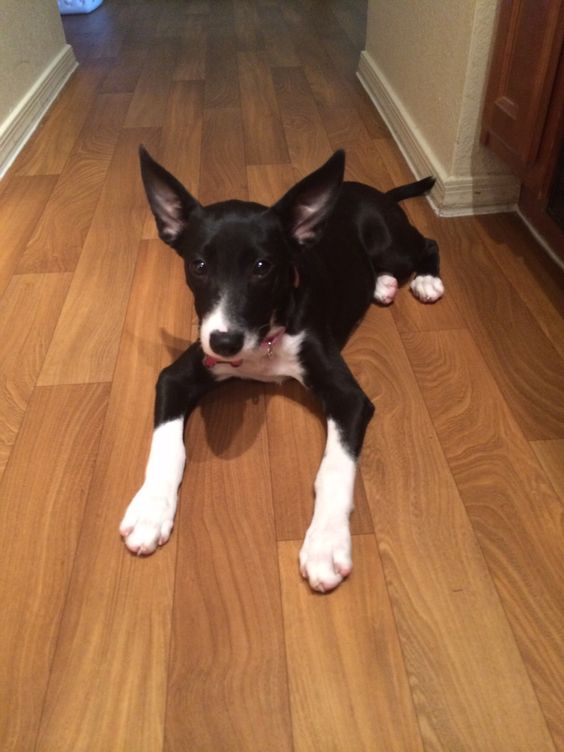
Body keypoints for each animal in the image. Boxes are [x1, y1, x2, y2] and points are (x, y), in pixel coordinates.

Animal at [119, 148, 442, 592]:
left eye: (262, 266)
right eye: (199, 265)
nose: (224, 343)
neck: (266, 336)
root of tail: (371, 192)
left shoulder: (348, 397)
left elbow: (334, 468)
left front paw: (325, 545)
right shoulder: (178, 374)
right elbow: (167, 445)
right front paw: (150, 509)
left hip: (391, 244)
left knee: (426, 242)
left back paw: (425, 279)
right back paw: (381, 285)